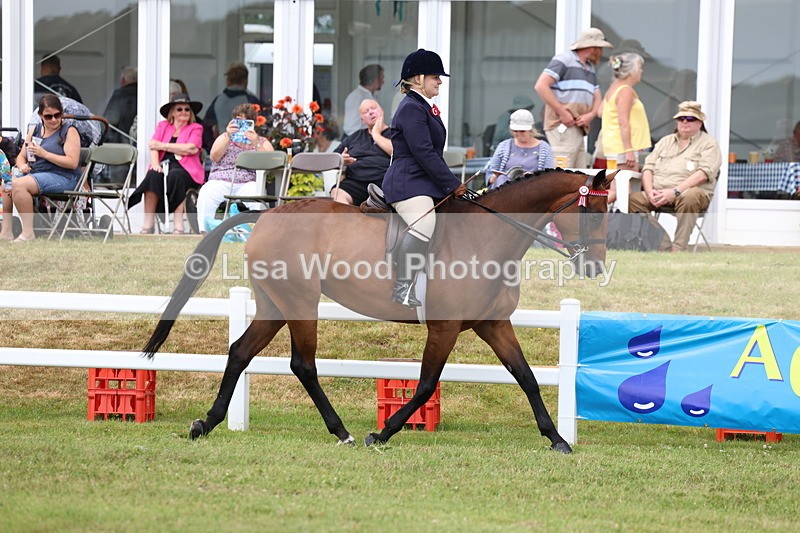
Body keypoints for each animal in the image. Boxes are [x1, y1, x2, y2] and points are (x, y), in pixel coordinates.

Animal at [143, 168, 614, 453]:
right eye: (595, 213)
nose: (594, 266)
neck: (488, 237)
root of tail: (266, 215)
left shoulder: (493, 324)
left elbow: (527, 377)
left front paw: (556, 438)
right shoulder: (444, 328)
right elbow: (425, 385)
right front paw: (381, 433)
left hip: (275, 304)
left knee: (240, 351)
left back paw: (206, 423)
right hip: (300, 302)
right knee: (303, 364)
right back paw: (343, 432)